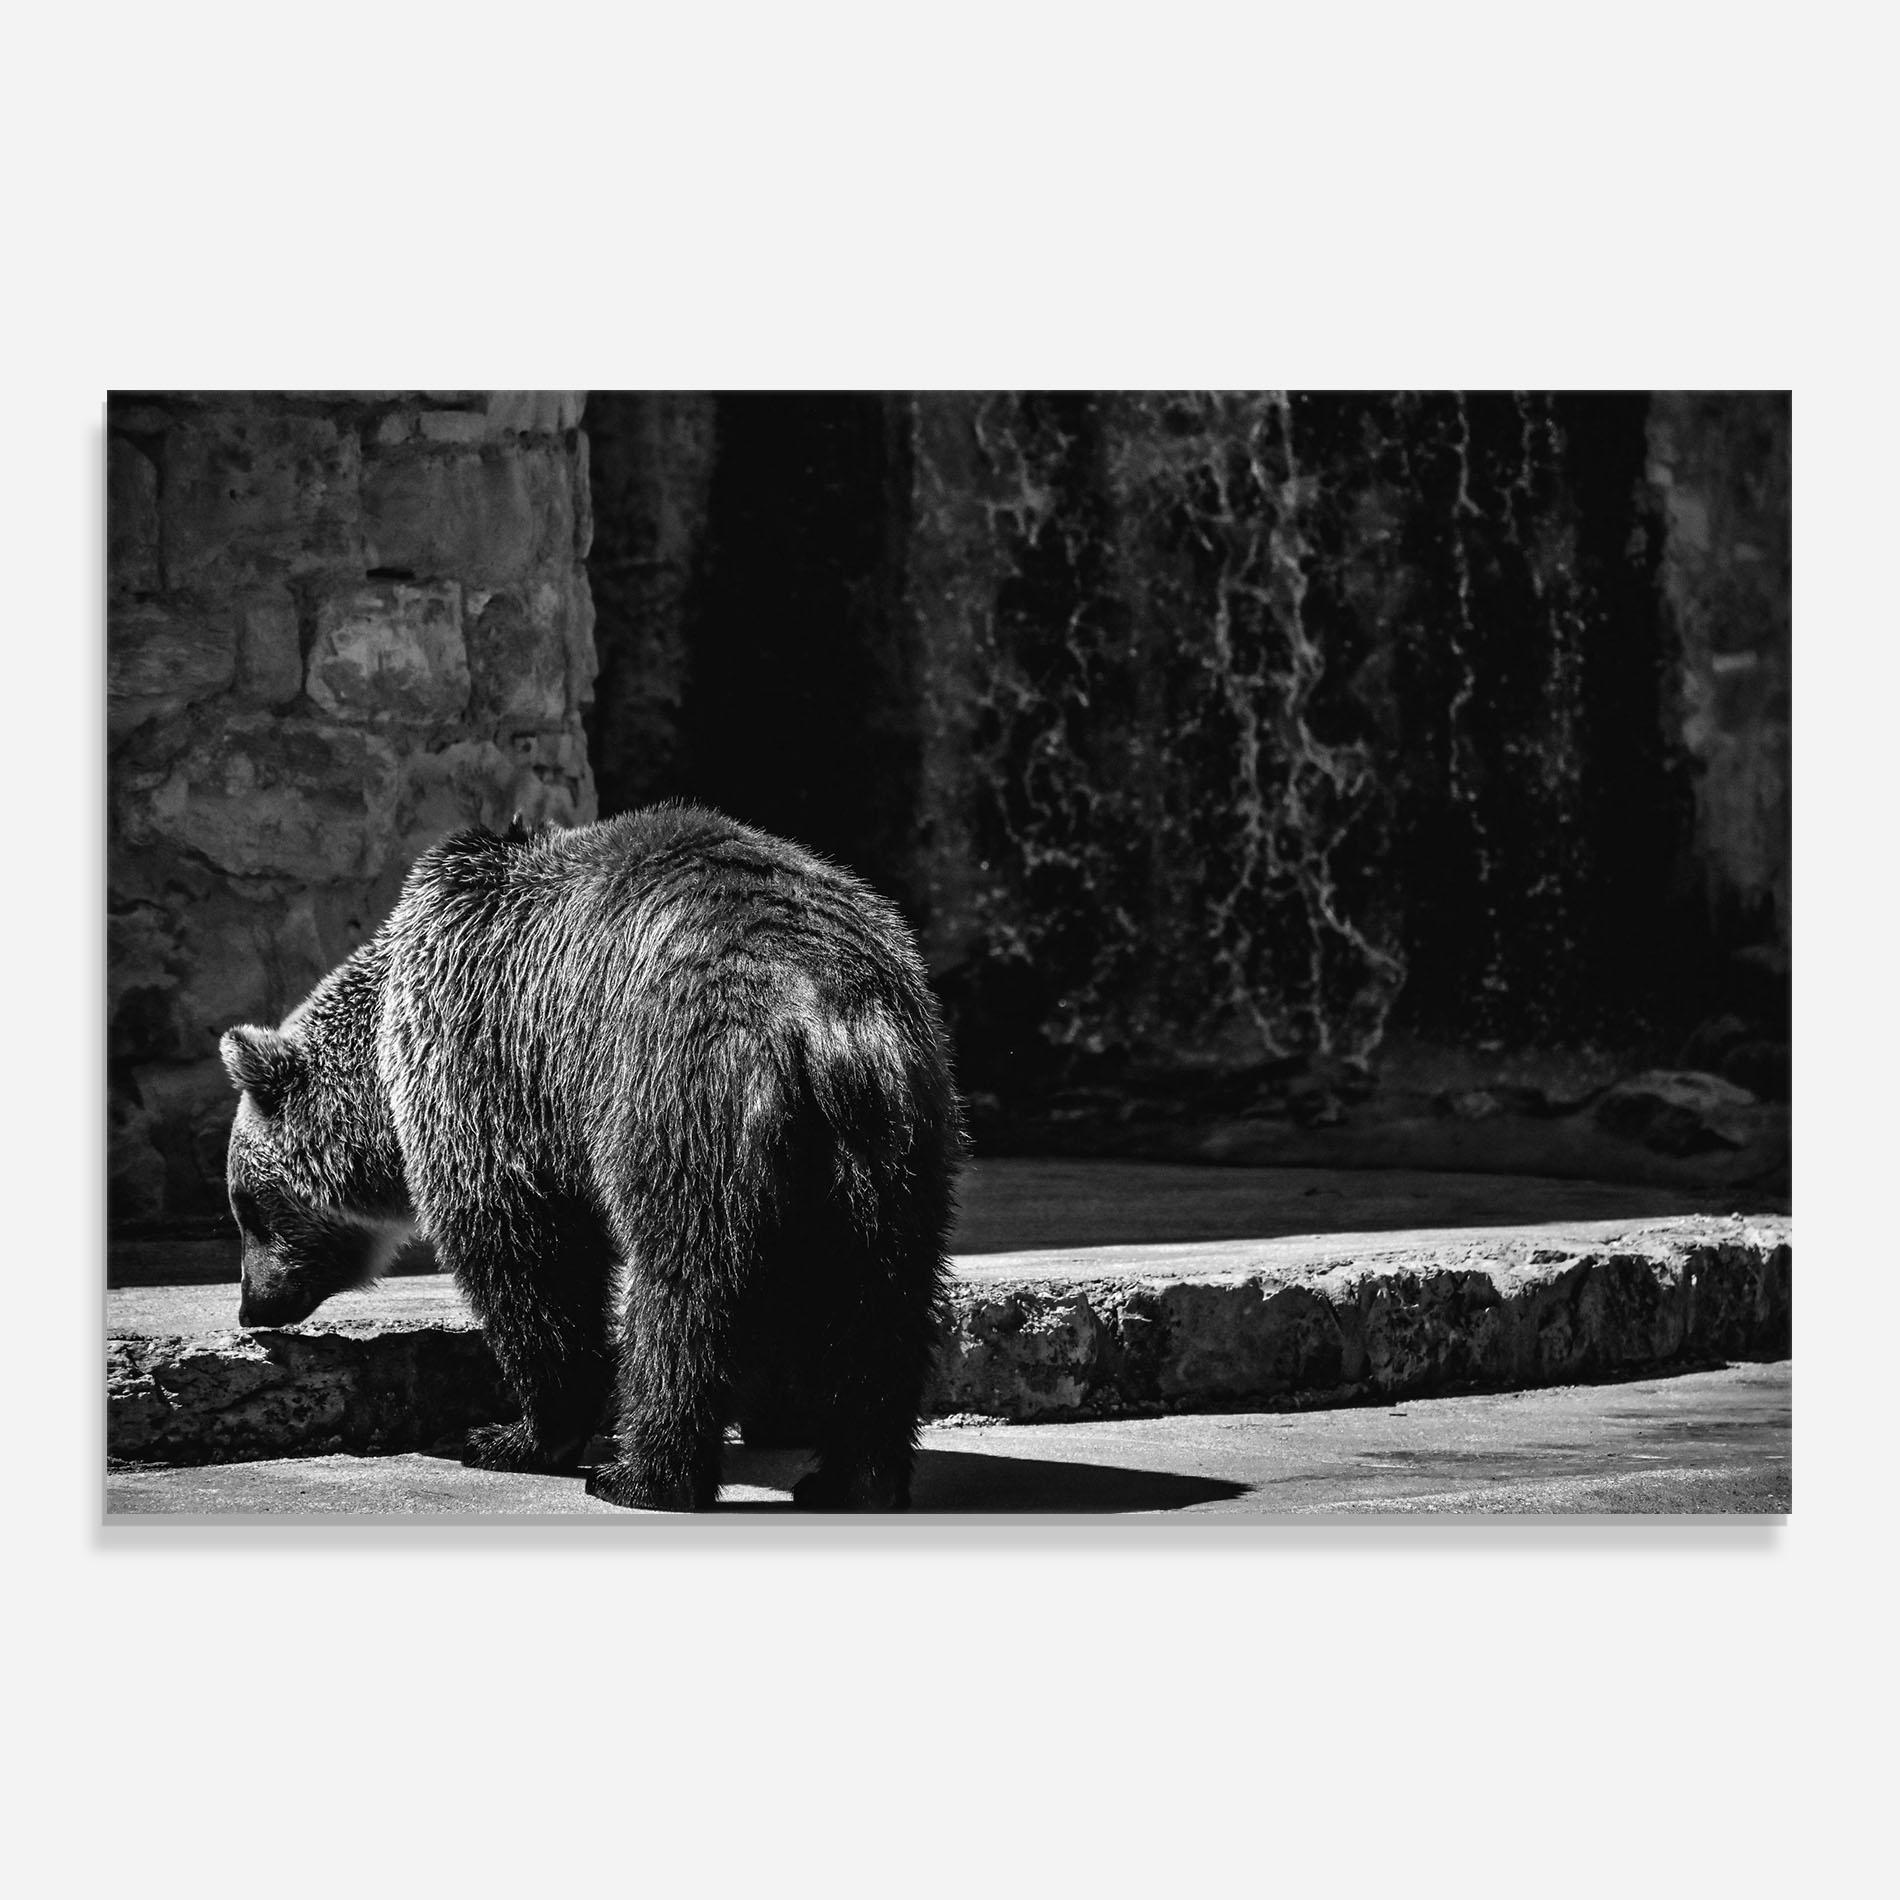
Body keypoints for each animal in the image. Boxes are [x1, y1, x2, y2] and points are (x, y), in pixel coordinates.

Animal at [217, 803, 963, 1512]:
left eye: (247, 1207)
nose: (252, 1306)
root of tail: (823, 1011)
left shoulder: (491, 1059)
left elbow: (528, 1255)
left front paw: (511, 1435)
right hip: (895, 1141)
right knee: (881, 1301)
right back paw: (853, 1479)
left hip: (682, 1095)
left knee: (686, 1290)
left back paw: (641, 1475)